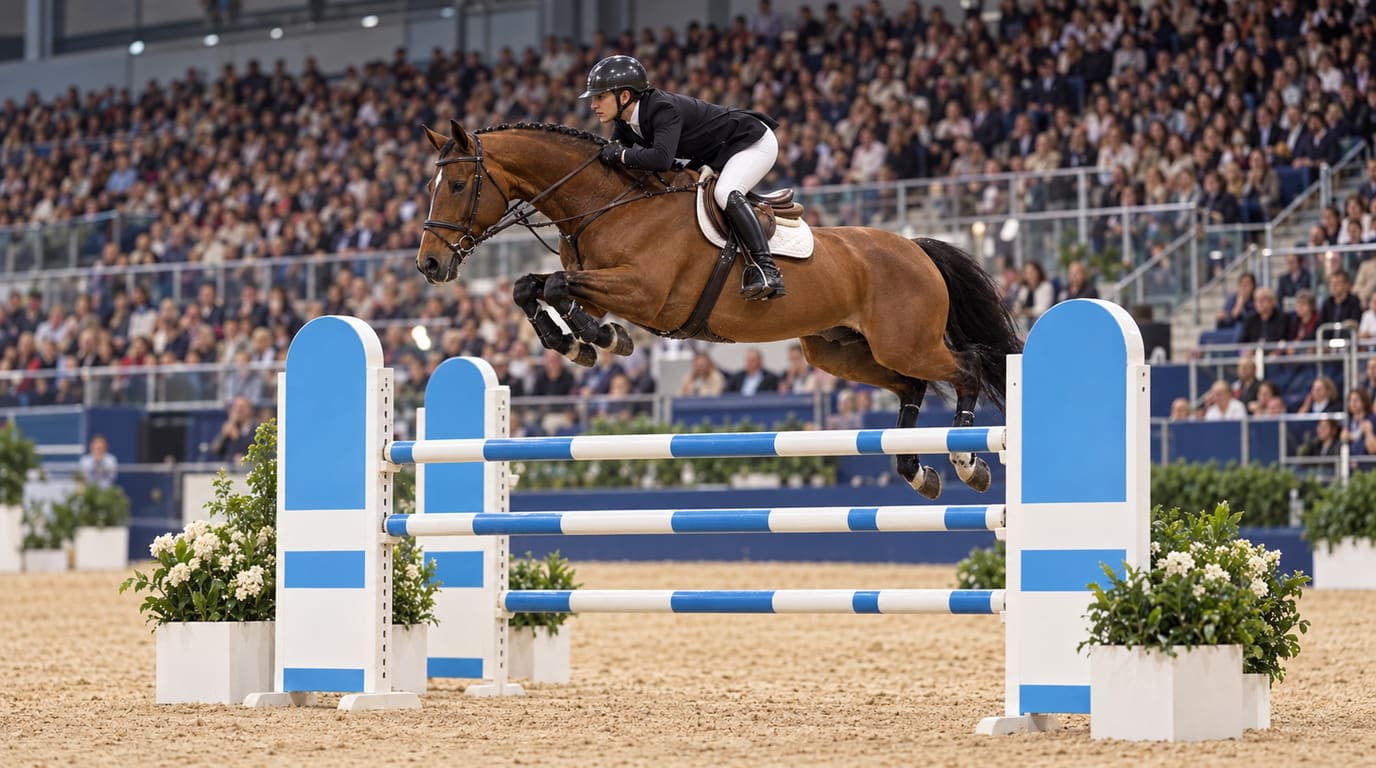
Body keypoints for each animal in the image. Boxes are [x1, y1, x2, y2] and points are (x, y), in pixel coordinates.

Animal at [415, 120, 1023, 498]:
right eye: (431, 184)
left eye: (460, 183)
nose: (429, 264)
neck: (606, 204)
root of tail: (915, 247)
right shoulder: (605, 285)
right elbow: (531, 286)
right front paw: (577, 343)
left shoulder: (645, 293)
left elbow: (561, 285)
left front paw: (603, 338)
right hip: (840, 351)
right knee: (912, 386)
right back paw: (916, 471)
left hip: (907, 341)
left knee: (966, 368)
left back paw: (967, 461)